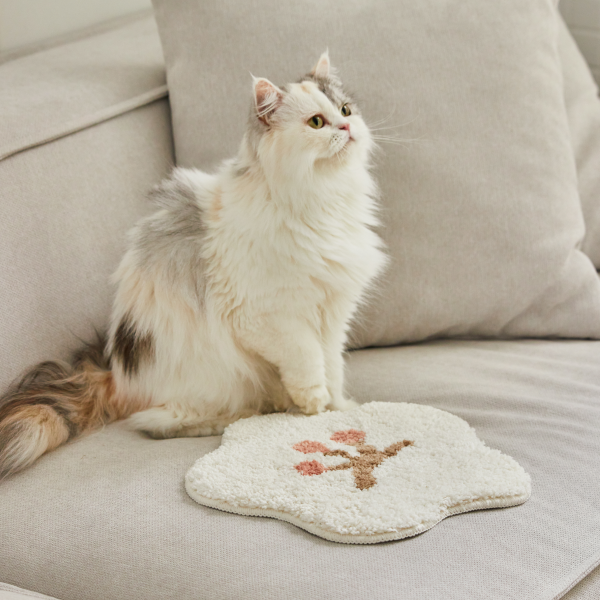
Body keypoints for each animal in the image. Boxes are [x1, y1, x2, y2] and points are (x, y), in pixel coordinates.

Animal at [0, 51, 387, 479]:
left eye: (346, 110)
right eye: (317, 122)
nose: (348, 127)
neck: (323, 201)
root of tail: (115, 372)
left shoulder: (332, 314)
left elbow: (332, 366)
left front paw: (338, 407)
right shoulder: (268, 317)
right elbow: (306, 360)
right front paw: (313, 404)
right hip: (211, 378)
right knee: (159, 423)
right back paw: (246, 414)